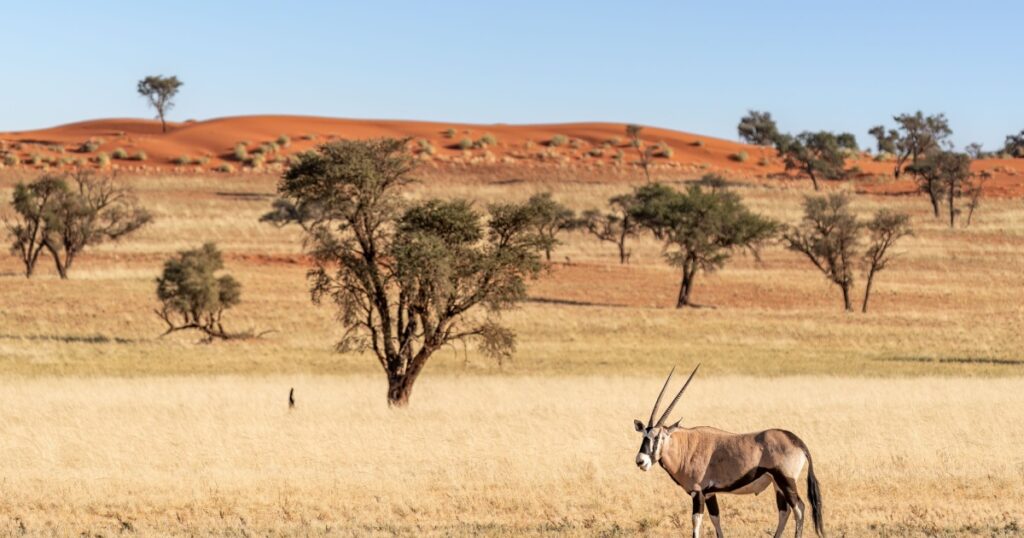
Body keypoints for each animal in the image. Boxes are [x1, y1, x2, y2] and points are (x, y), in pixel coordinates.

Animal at [633, 365, 824, 538]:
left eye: (659, 437)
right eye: (643, 436)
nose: (640, 461)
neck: (685, 447)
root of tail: (796, 441)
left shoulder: (698, 492)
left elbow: (696, 523)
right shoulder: (710, 494)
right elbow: (716, 519)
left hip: (786, 481)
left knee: (799, 508)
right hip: (777, 484)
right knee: (784, 511)